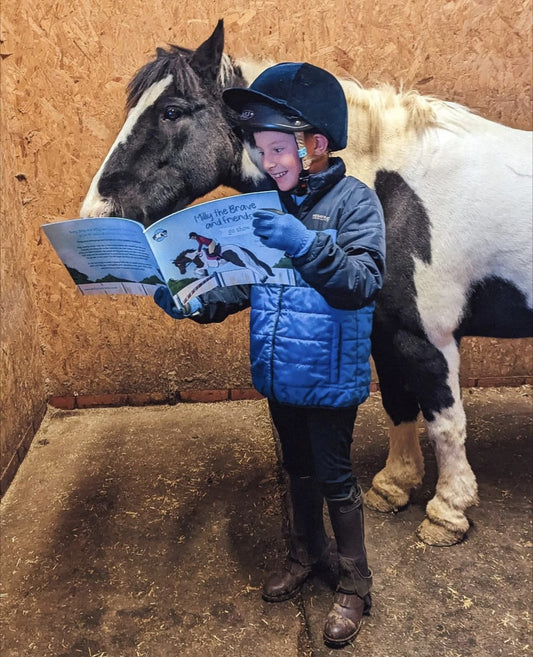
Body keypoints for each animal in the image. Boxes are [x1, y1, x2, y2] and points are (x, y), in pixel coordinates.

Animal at [80, 20, 533, 546]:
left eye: (171, 110)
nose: (96, 215)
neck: (392, 192)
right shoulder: (385, 332)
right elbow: (398, 404)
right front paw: (394, 485)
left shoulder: (430, 338)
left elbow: (445, 424)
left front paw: (448, 510)